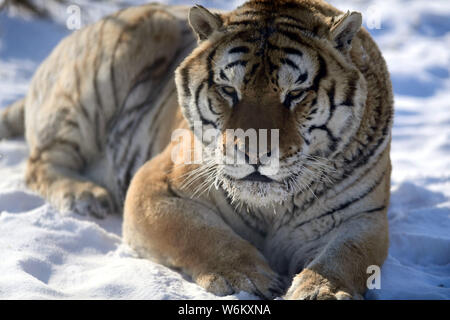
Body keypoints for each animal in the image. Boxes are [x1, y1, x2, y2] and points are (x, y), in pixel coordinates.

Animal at [0, 0, 394, 300]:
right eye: (228, 90)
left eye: (295, 94)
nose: (253, 154)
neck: (272, 208)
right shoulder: (155, 185)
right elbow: (200, 234)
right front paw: (248, 277)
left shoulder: (362, 216)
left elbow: (346, 257)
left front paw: (321, 291)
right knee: (40, 162)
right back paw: (85, 195)